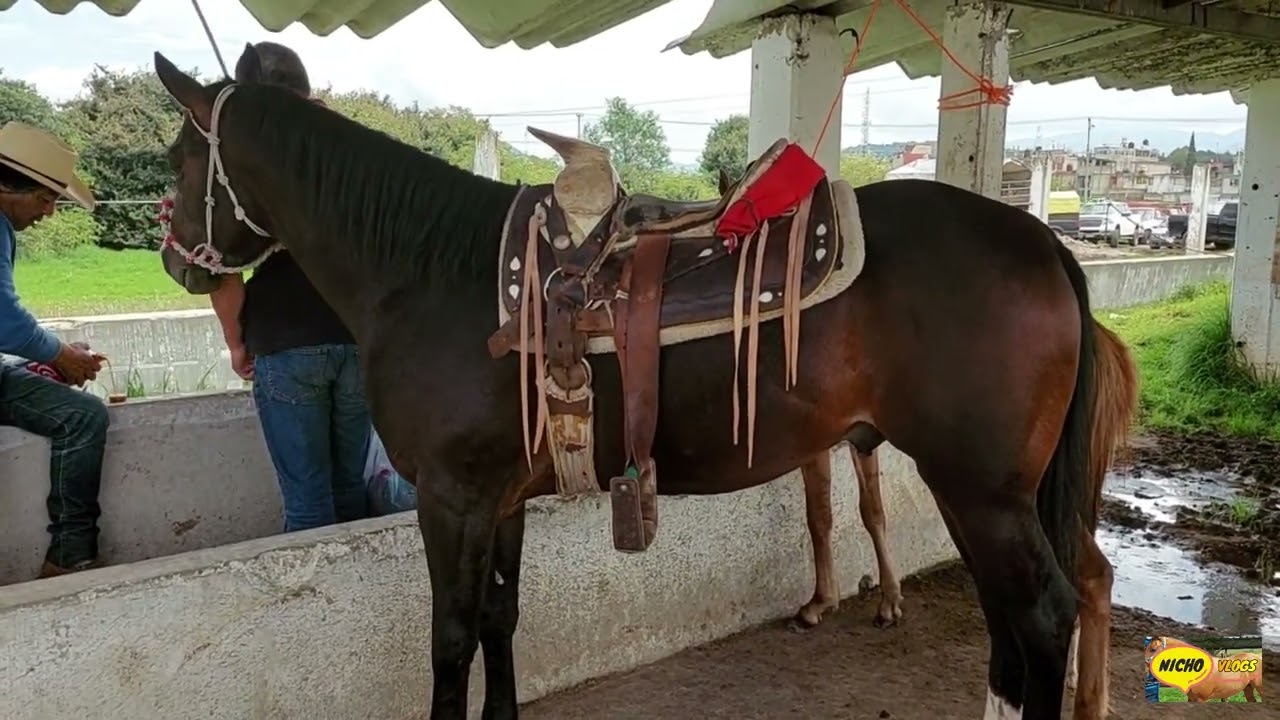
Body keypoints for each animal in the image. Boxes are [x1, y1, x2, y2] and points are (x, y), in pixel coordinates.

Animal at [151, 44, 1138, 720]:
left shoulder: (452, 498)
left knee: (1043, 616)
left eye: (176, 159)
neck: (432, 271)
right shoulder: (502, 496)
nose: (174, 259)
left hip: (983, 491)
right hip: (981, 490)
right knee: (1018, 623)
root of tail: (1043, 240)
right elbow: (501, 622)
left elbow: (451, 640)